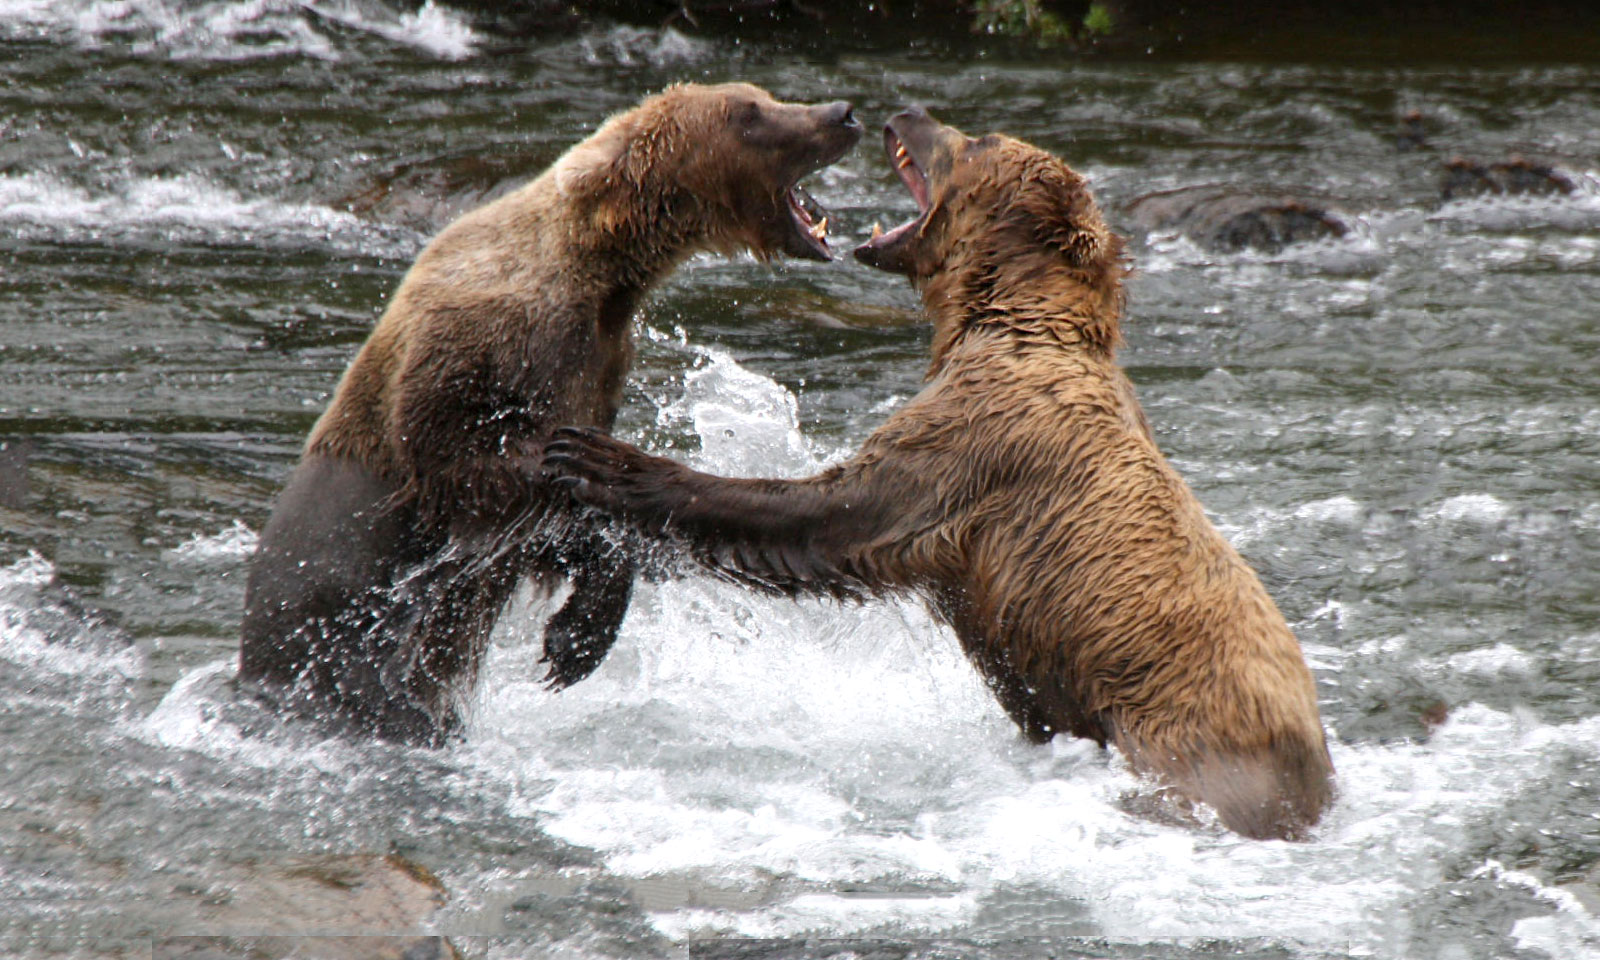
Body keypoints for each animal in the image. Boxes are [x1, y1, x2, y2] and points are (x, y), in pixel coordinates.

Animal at [236, 84, 864, 742]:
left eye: (763, 99)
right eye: (748, 114)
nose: (841, 113)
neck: (602, 275)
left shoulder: (598, 363)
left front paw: (576, 633)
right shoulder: (477, 345)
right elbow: (469, 465)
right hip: (332, 646)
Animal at [547, 107, 1337, 838]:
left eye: (977, 139)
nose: (906, 112)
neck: (998, 318)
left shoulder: (973, 447)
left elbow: (830, 512)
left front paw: (602, 463)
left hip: (1193, 745)